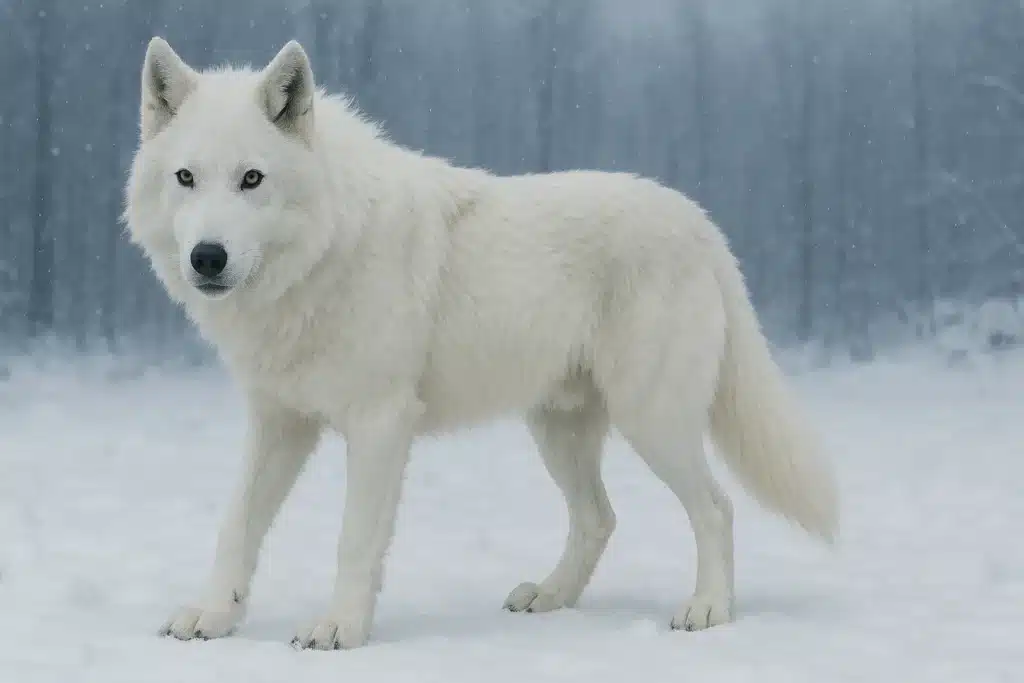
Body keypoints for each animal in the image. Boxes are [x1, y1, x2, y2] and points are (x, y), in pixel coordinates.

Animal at [124, 37, 839, 650]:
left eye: (252, 179)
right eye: (186, 178)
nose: (207, 257)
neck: (322, 256)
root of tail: (703, 223)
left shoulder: (380, 424)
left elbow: (354, 539)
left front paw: (339, 630)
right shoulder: (279, 421)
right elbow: (236, 525)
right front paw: (213, 616)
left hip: (652, 421)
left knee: (716, 509)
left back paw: (708, 610)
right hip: (558, 430)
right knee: (599, 518)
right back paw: (550, 597)